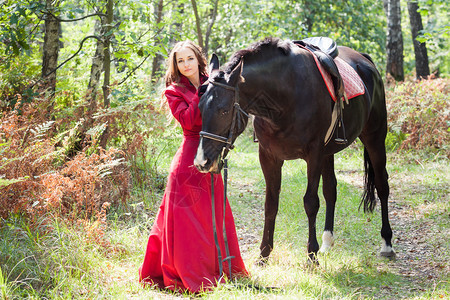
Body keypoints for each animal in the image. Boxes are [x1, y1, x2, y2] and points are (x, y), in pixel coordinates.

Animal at [193, 37, 394, 262]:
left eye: (224, 110)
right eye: (200, 107)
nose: (201, 162)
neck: (284, 99)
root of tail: (366, 61)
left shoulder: (314, 155)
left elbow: (311, 202)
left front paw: (311, 256)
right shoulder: (269, 157)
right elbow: (271, 204)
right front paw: (264, 254)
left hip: (375, 138)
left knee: (382, 185)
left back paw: (386, 243)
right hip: (329, 153)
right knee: (331, 190)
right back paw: (327, 242)